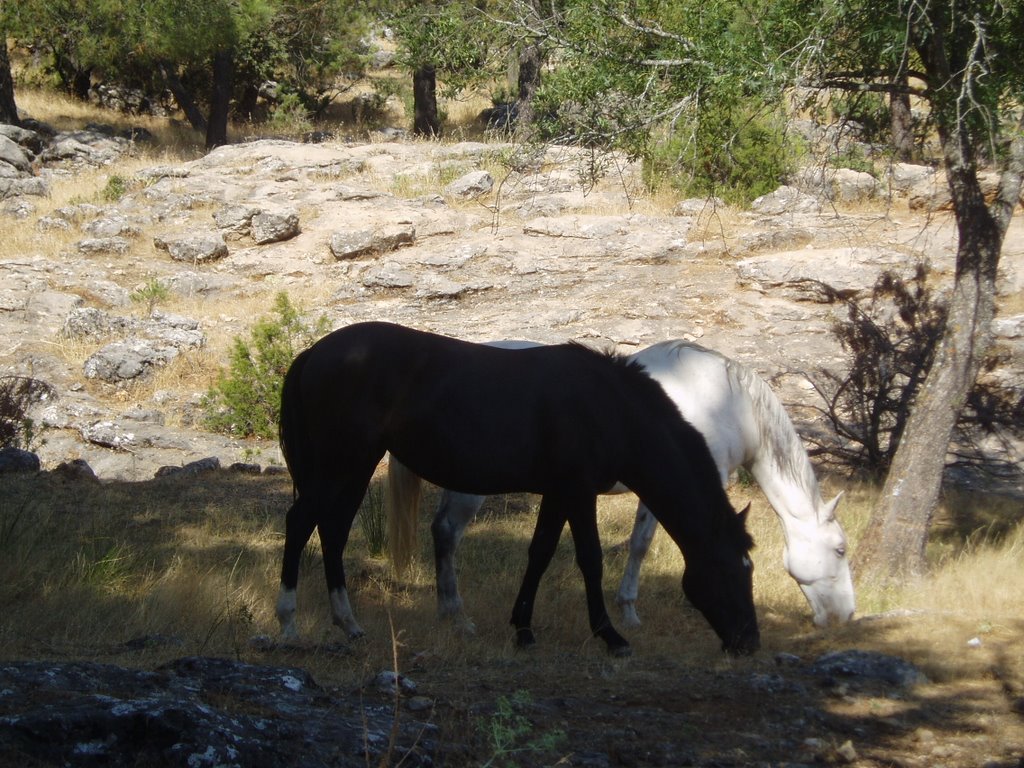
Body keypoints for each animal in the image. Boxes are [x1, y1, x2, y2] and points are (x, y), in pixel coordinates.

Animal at [276, 323, 757, 655]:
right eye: (735, 570)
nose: (749, 641)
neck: (609, 408)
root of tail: (313, 353)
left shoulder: (558, 492)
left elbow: (540, 553)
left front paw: (523, 628)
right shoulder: (578, 491)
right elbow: (590, 559)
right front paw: (610, 635)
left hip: (354, 468)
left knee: (333, 532)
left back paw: (348, 623)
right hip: (341, 465)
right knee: (300, 524)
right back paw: (288, 624)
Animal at [387, 342, 851, 630]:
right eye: (840, 550)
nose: (845, 616)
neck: (728, 403)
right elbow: (645, 545)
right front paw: (632, 611)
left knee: (441, 531)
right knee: (448, 534)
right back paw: (455, 614)